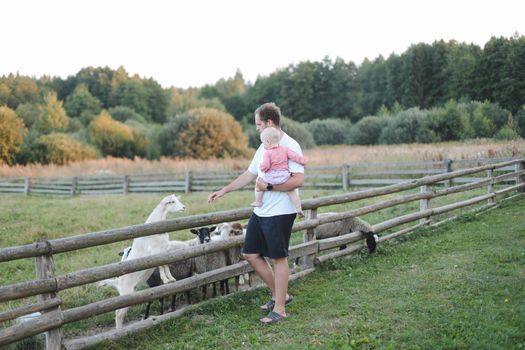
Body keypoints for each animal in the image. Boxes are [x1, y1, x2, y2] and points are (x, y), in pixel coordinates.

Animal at [97, 194, 186, 328]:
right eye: (172, 202)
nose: (184, 207)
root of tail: (117, 282)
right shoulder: (156, 252)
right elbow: (161, 265)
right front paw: (166, 280)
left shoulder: (164, 250)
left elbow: (165, 264)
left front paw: (171, 279)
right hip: (126, 293)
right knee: (118, 313)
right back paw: (119, 330)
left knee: (119, 313)